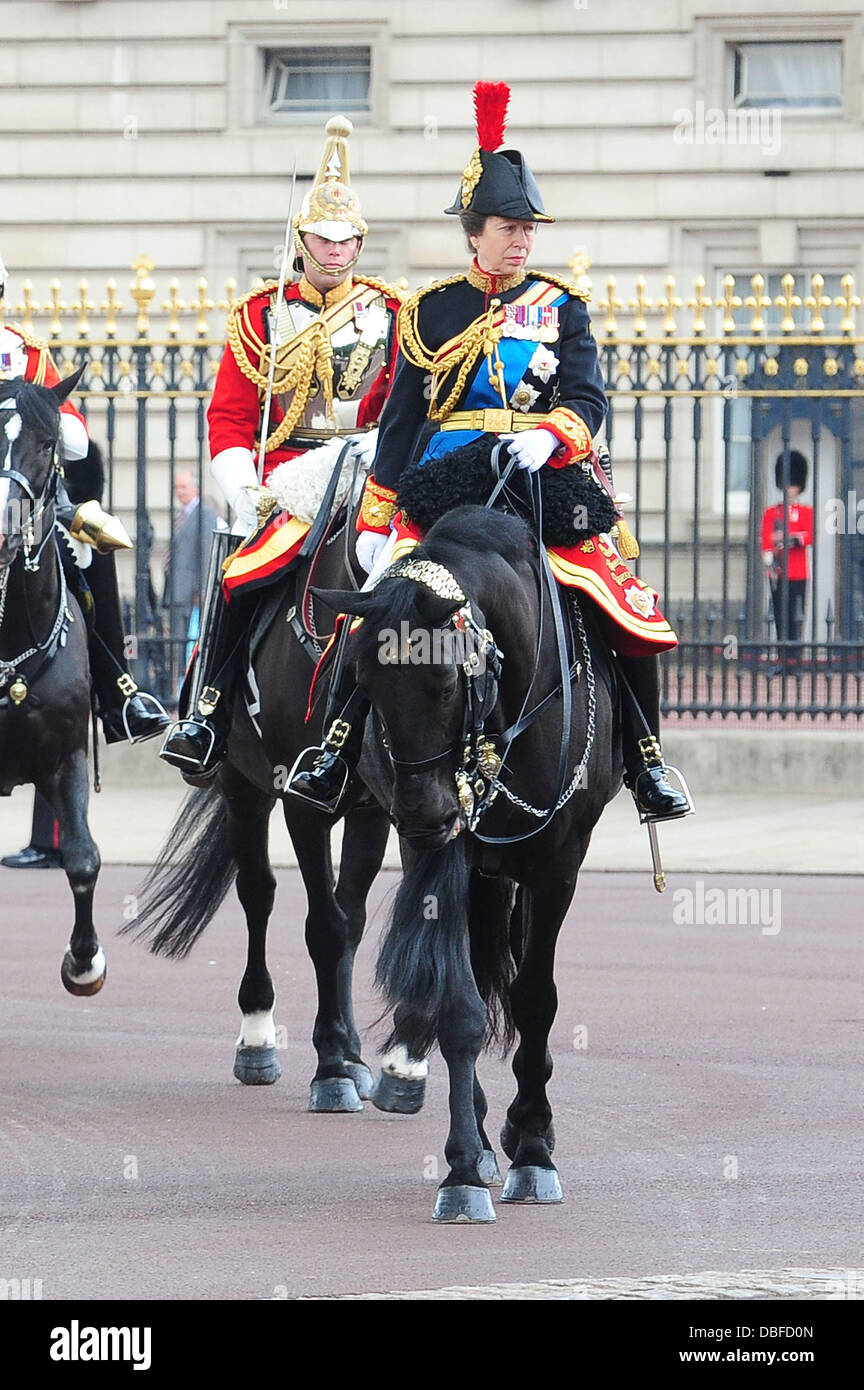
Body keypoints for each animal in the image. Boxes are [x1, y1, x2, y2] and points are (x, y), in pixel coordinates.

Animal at [318, 505, 622, 1223]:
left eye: (442, 680)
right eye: (363, 682)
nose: (424, 815)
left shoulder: (558, 865)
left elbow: (536, 1000)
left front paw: (534, 1151)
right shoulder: (446, 860)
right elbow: (460, 1004)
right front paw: (462, 1165)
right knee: (478, 978)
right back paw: (485, 1138)